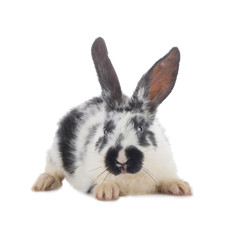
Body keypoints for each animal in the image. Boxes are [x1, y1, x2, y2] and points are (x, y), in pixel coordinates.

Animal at [32, 36, 192, 200]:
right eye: (105, 131)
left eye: (140, 128)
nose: (121, 159)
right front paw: (106, 191)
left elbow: (168, 179)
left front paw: (180, 187)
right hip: (54, 155)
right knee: (52, 170)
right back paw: (44, 182)